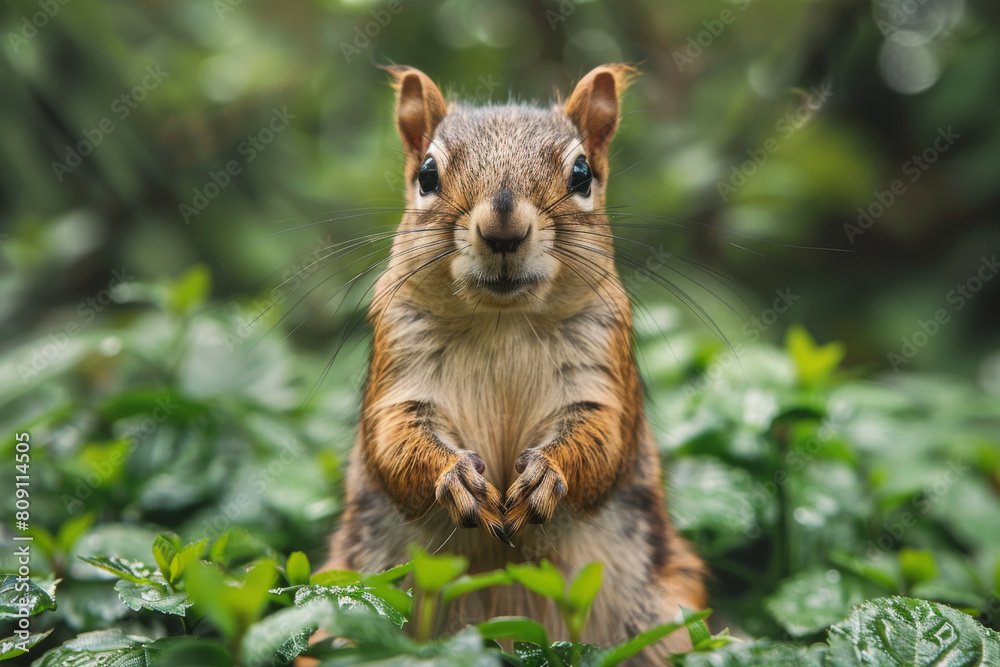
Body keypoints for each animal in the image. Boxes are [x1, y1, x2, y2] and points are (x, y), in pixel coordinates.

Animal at [317, 64, 706, 664]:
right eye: (427, 174)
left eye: (582, 173)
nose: (503, 230)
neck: (502, 322)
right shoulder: (399, 366)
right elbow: (393, 441)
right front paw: (454, 477)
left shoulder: (602, 368)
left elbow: (603, 439)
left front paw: (546, 474)